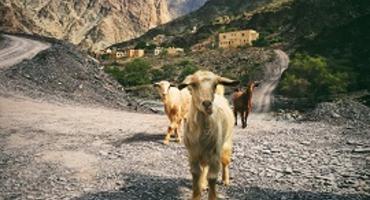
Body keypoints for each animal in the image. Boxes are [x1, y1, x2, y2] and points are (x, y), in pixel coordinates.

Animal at [179, 70, 240, 200]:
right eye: (194, 84)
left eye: (215, 84)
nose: (207, 104)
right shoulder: (193, 153)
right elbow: (196, 173)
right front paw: (196, 194)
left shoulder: (215, 153)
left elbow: (212, 177)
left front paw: (212, 196)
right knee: (204, 167)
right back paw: (203, 184)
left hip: (226, 144)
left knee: (225, 162)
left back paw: (225, 180)